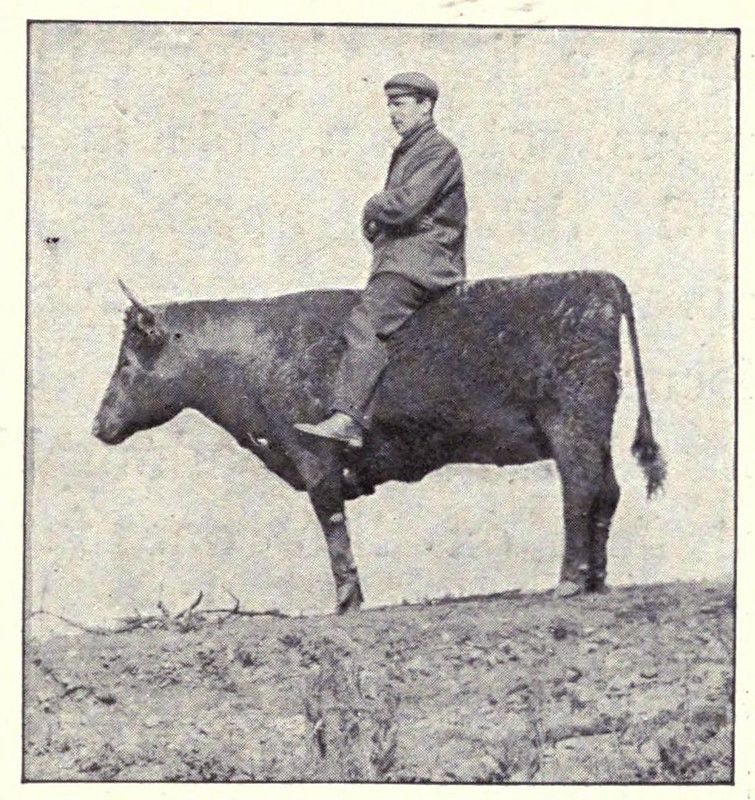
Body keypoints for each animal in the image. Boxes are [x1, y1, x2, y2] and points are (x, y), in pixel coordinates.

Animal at [92, 270, 665, 613]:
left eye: (125, 364)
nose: (98, 426)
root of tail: (598, 280)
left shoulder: (314, 456)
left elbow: (331, 521)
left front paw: (347, 599)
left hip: (572, 425)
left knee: (580, 492)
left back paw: (568, 581)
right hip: (594, 431)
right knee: (607, 493)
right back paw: (596, 579)